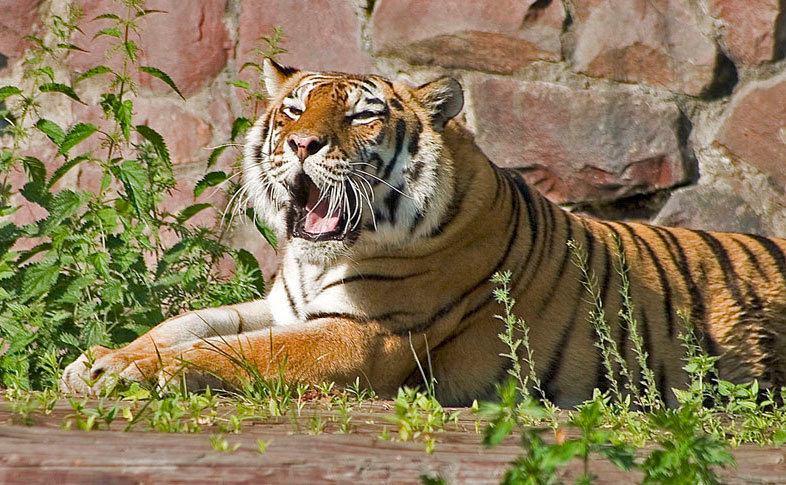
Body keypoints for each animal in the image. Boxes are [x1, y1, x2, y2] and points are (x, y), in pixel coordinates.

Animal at [62, 59, 786, 408]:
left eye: (360, 116)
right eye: (293, 109)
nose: (300, 143)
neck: (316, 261)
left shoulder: (363, 336)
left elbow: (237, 353)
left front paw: (122, 373)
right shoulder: (283, 307)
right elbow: (190, 323)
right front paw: (94, 360)